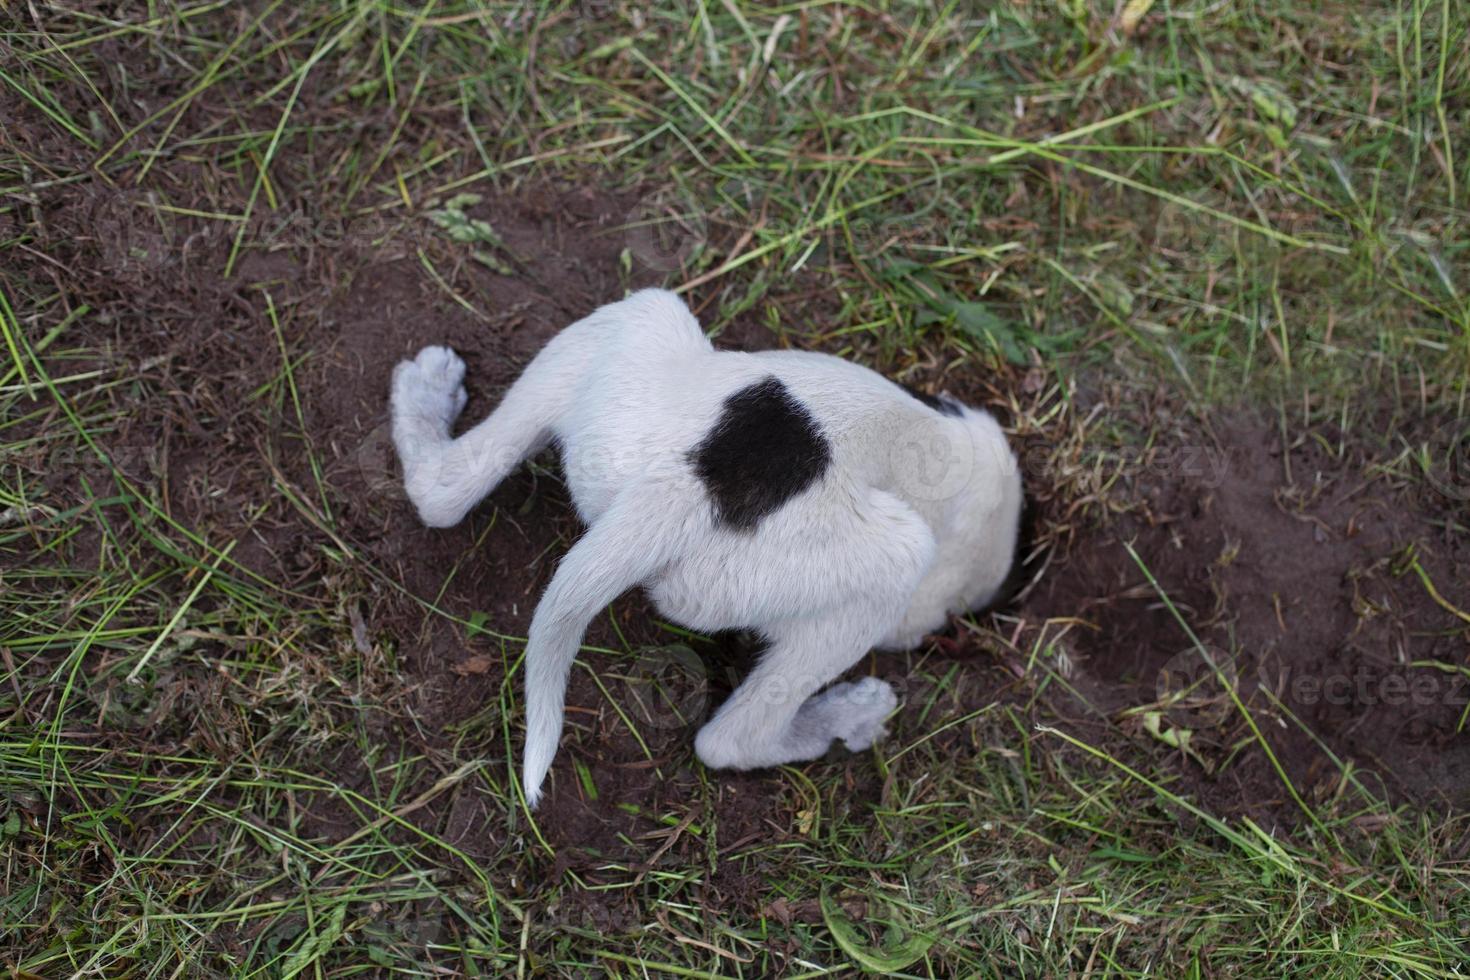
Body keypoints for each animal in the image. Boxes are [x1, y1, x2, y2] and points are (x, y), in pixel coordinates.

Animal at [391, 287, 1023, 811]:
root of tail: (685, 486)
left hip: (633, 331)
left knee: (442, 491)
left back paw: (423, 396)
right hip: (888, 563)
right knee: (731, 740)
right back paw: (844, 718)